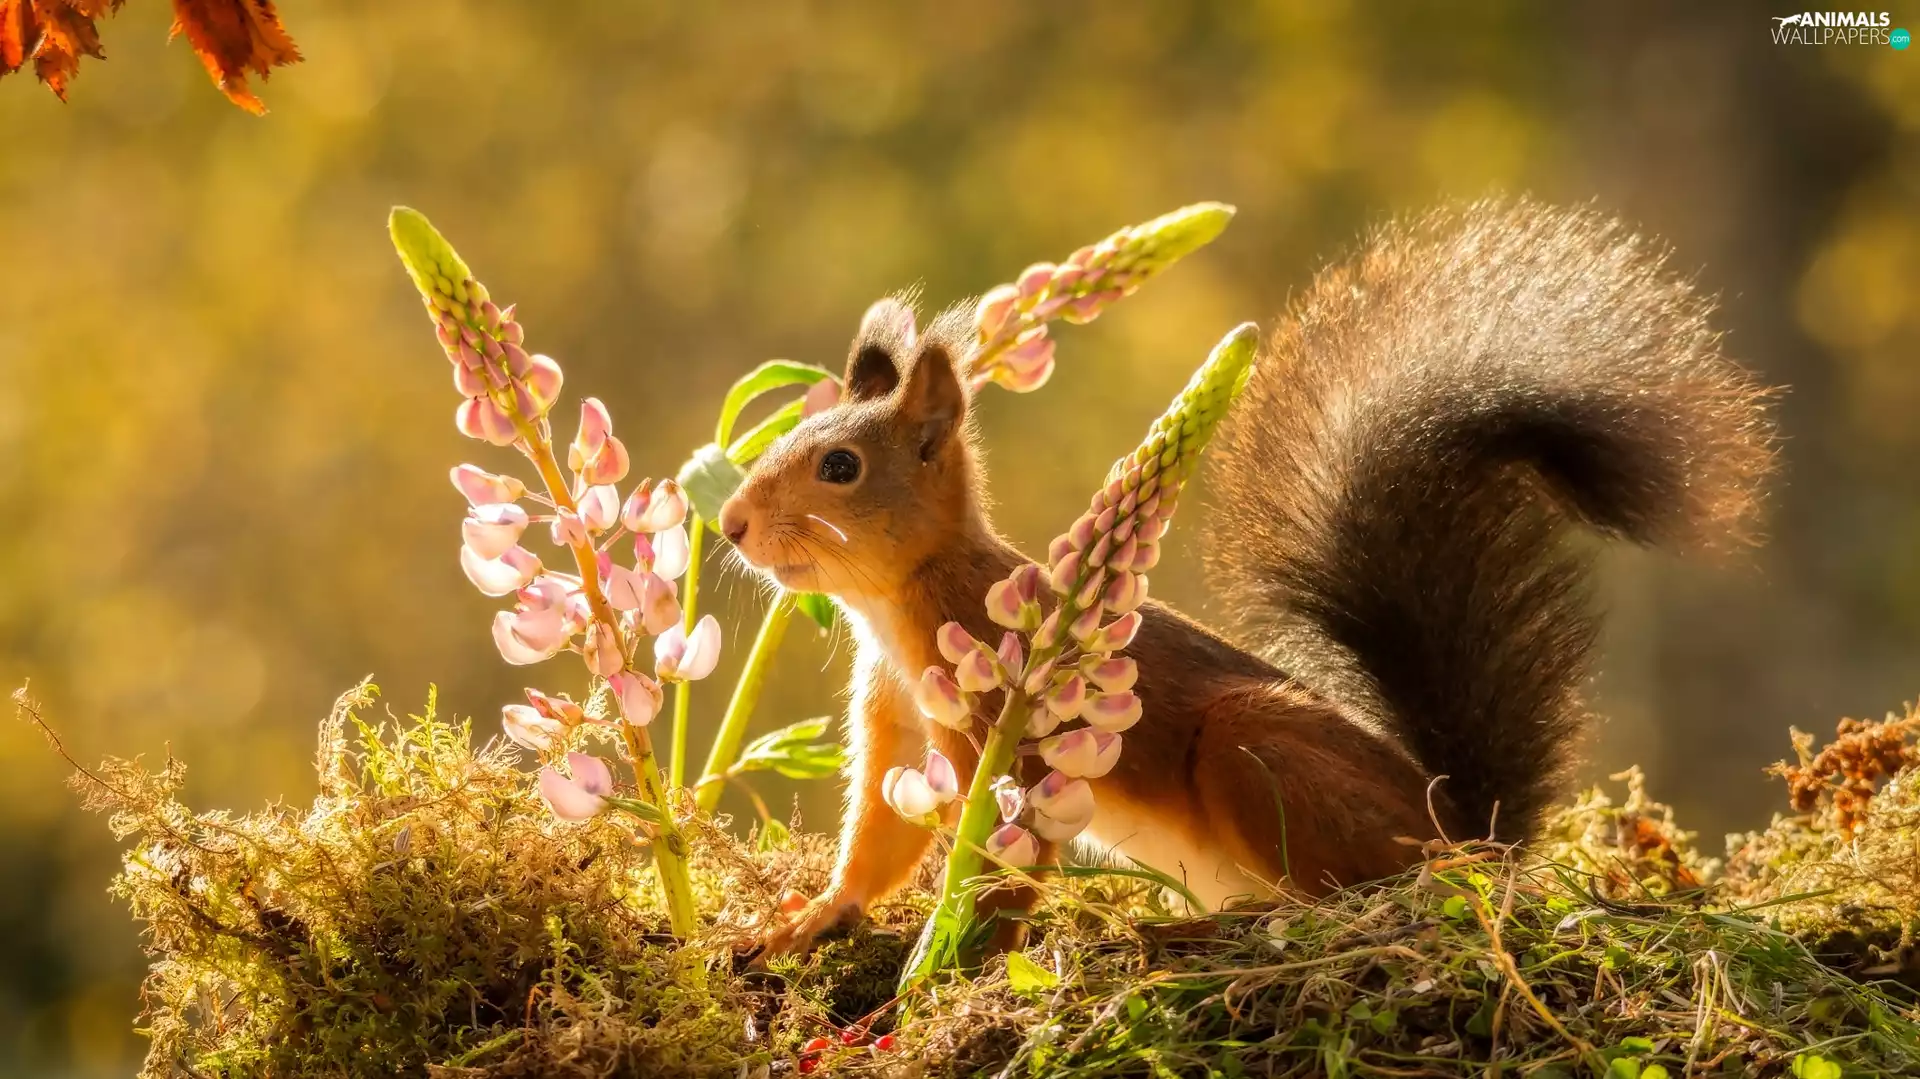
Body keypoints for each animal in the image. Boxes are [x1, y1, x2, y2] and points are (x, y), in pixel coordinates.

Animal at [719, 199, 1775, 956]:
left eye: (841, 466)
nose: (728, 523)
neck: (897, 600)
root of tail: (1463, 834)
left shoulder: (1012, 737)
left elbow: (1004, 862)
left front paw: (960, 955)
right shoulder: (897, 717)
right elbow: (881, 837)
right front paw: (815, 915)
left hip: (1252, 751)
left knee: (1345, 901)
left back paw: (1225, 924)